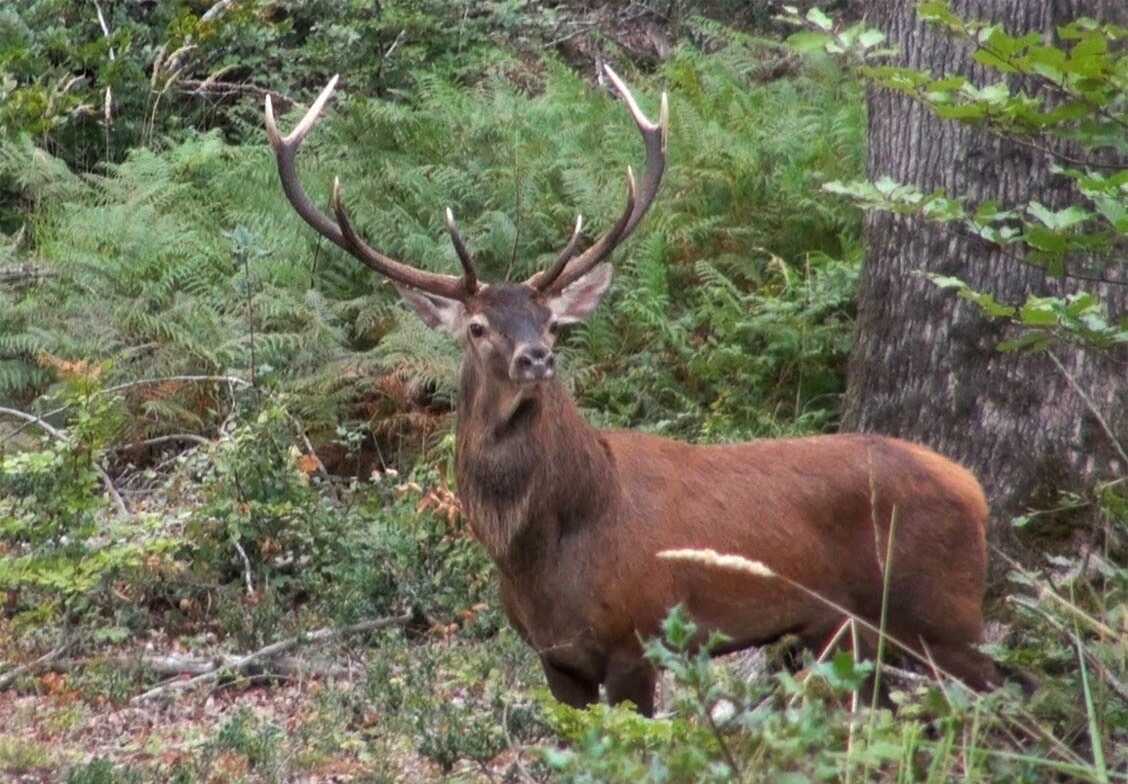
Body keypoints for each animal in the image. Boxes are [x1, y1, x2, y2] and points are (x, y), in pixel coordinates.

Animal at [266, 69, 1006, 717]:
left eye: (551, 321)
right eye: (477, 327)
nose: (536, 357)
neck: (543, 551)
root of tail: (974, 487)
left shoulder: (639, 636)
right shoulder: (555, 658)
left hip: (943, 612)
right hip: (851, 632)